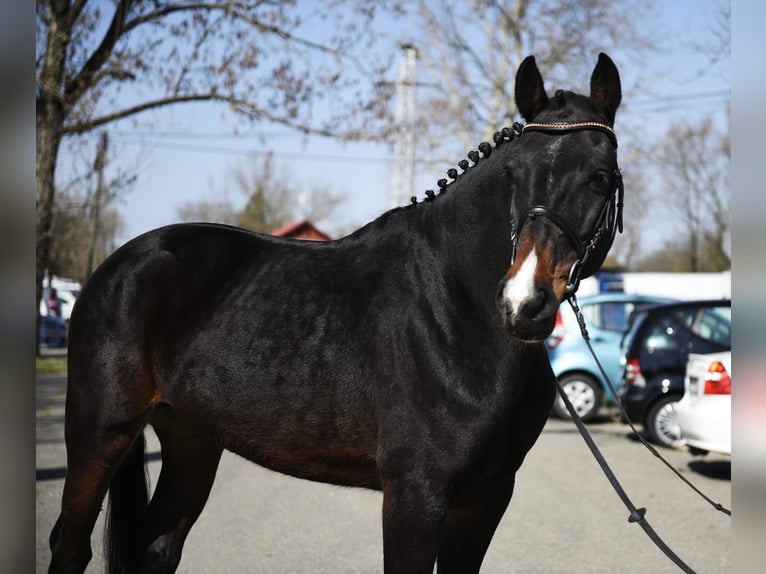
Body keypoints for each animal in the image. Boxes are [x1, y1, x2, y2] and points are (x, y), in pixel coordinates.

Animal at [49, 53, 623, 574]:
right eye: (512, 175)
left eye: (600, 177)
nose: (523, 303)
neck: (455, 313)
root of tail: (118, 263)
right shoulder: (415, 496)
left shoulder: (486, 500)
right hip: (100, 435)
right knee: (71, 544)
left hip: (192, 438)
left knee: (158, 548)